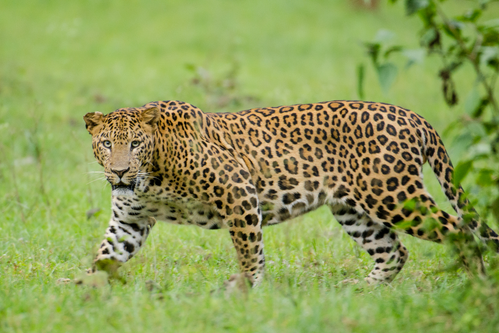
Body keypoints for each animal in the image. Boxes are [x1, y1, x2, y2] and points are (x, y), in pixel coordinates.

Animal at [84, 100, 499, 284]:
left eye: (135, 144)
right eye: (106, 144)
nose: (120, 171)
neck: (152, 175)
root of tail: (414, 116)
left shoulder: (238, 190)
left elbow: (249, 250)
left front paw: (246, 290)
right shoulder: (129, 220)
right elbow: (105, 254)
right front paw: (81, 292)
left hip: (393, 195)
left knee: (460, 232)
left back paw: (478, 286)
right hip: (353, 209)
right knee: (394, 251)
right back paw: (362, 291)